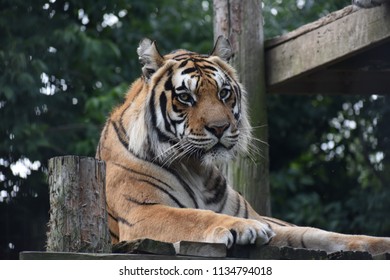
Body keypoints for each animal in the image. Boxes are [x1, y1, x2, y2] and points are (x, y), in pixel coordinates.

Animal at [96, 36, 390, 254]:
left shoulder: (267, 219)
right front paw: (243, 227)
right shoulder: (141, 212)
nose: (219, 128)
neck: (196, 168)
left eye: (223, 93)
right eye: (185, 97)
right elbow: (194, 216)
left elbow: (316, 234)